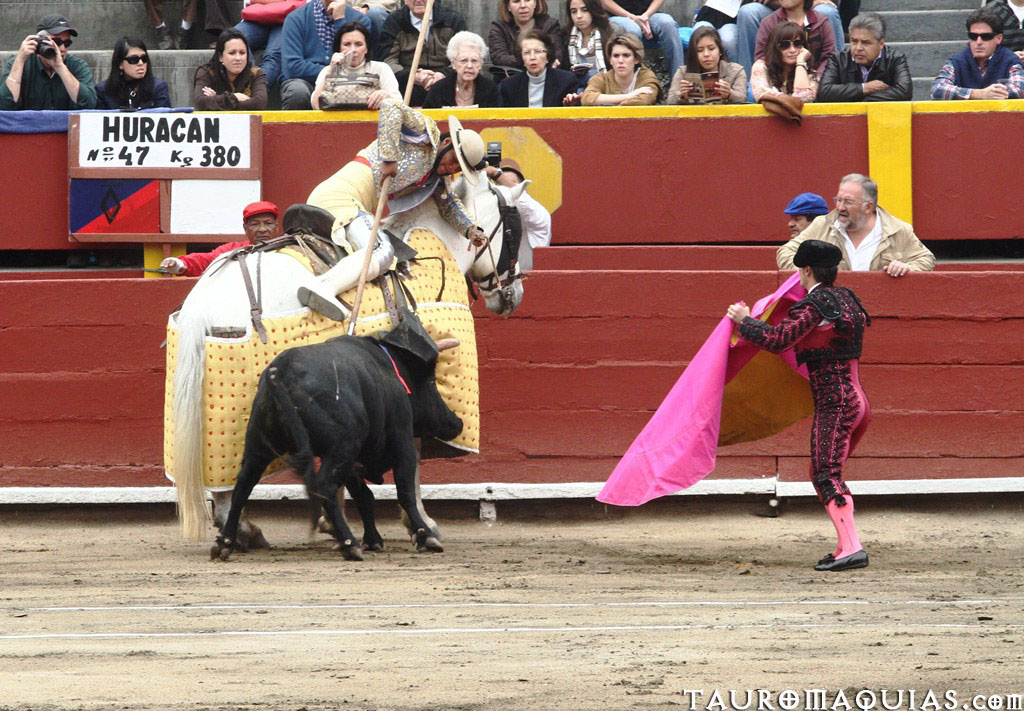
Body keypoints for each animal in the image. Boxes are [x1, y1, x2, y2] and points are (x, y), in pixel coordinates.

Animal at [214, 325, 462, 565]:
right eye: (431, 381)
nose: (456, 423)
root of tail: (281, 372)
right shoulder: (401, 442)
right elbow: (404, 491)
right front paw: (425, 536)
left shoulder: (352, 461)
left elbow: (364, 497)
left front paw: (373, 540)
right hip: (342, 448)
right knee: (324, 487)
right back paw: (349, 543)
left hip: (259, 447)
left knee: (243, 485)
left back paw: (225, 542)